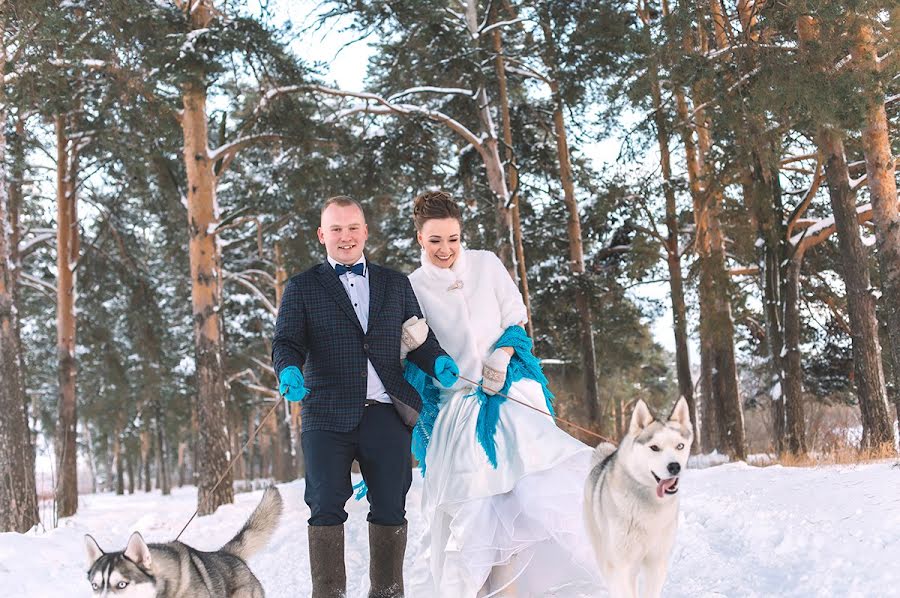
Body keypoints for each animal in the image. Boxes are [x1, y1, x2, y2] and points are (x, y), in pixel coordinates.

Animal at [588, 398, 692, 598]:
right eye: (654, 447)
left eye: (680, 446)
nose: (675, 466)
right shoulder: (622, 565)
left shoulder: (657, 563)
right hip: (606, 556)